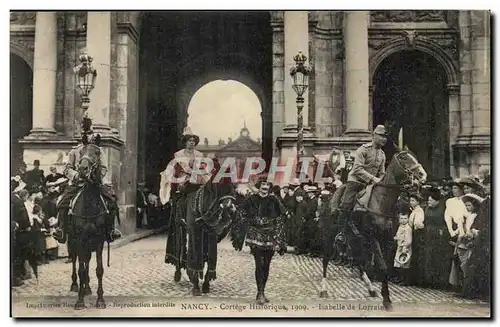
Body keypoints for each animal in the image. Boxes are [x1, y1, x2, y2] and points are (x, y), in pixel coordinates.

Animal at [318, 146, 428, 310]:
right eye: (404, 158)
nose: (422, 175)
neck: (381, 200)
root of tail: (331, 197)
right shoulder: (373, 238)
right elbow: (382, 266)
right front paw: (387, 299)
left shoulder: (387, 238)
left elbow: (384, 265)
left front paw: (385, 295)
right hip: (330, 234)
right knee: (326, 258)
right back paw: (324, 289)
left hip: (355, 238)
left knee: (358, 261)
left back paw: (370, 288)